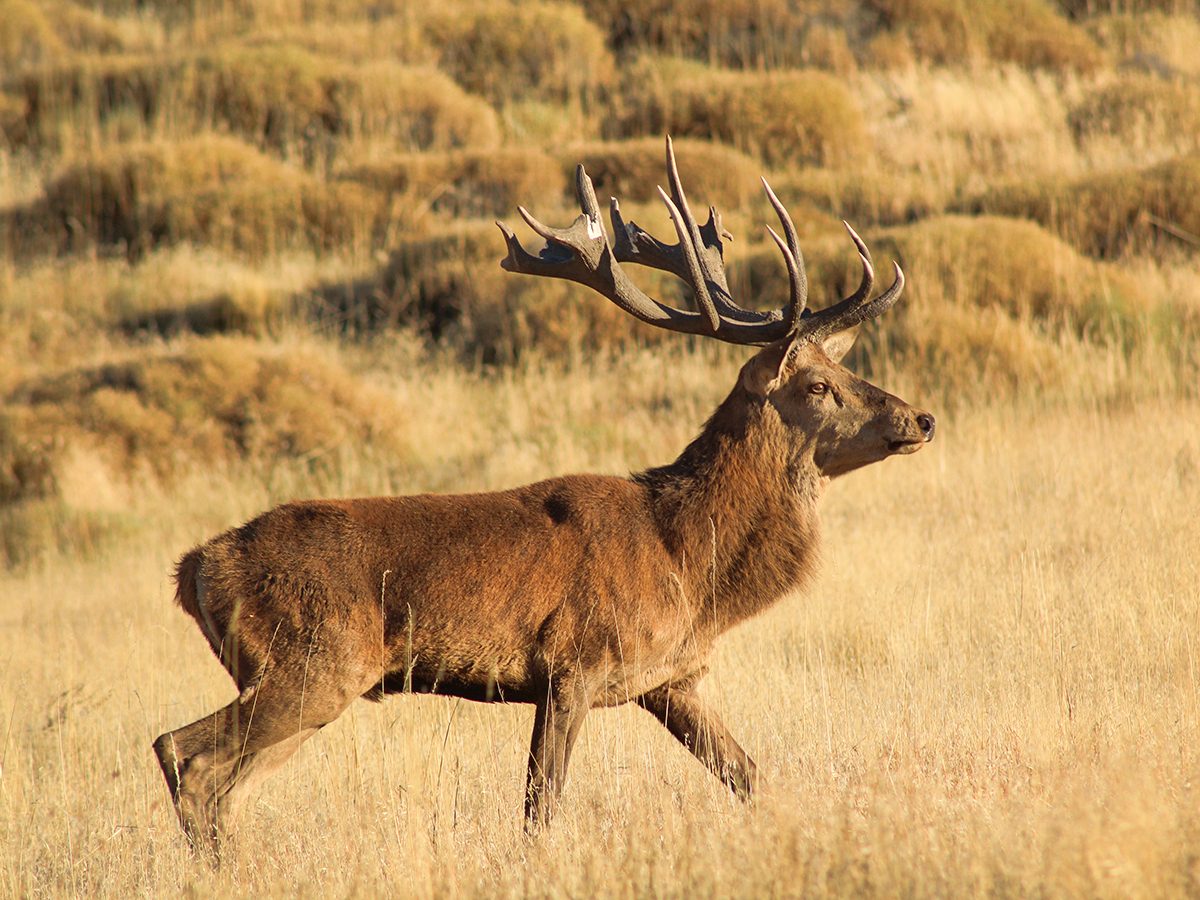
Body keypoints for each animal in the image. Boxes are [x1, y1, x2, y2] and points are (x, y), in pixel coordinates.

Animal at [153, 137, 935, 857]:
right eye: (818, 386)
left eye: (846, 367)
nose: (920, 419)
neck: (688, 561)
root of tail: (195, 569)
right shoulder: (572, 664)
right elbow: (541, 806)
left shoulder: (670, 681)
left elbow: (750, 775)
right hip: (314, 662)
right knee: (185, 754)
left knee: (220, 778)